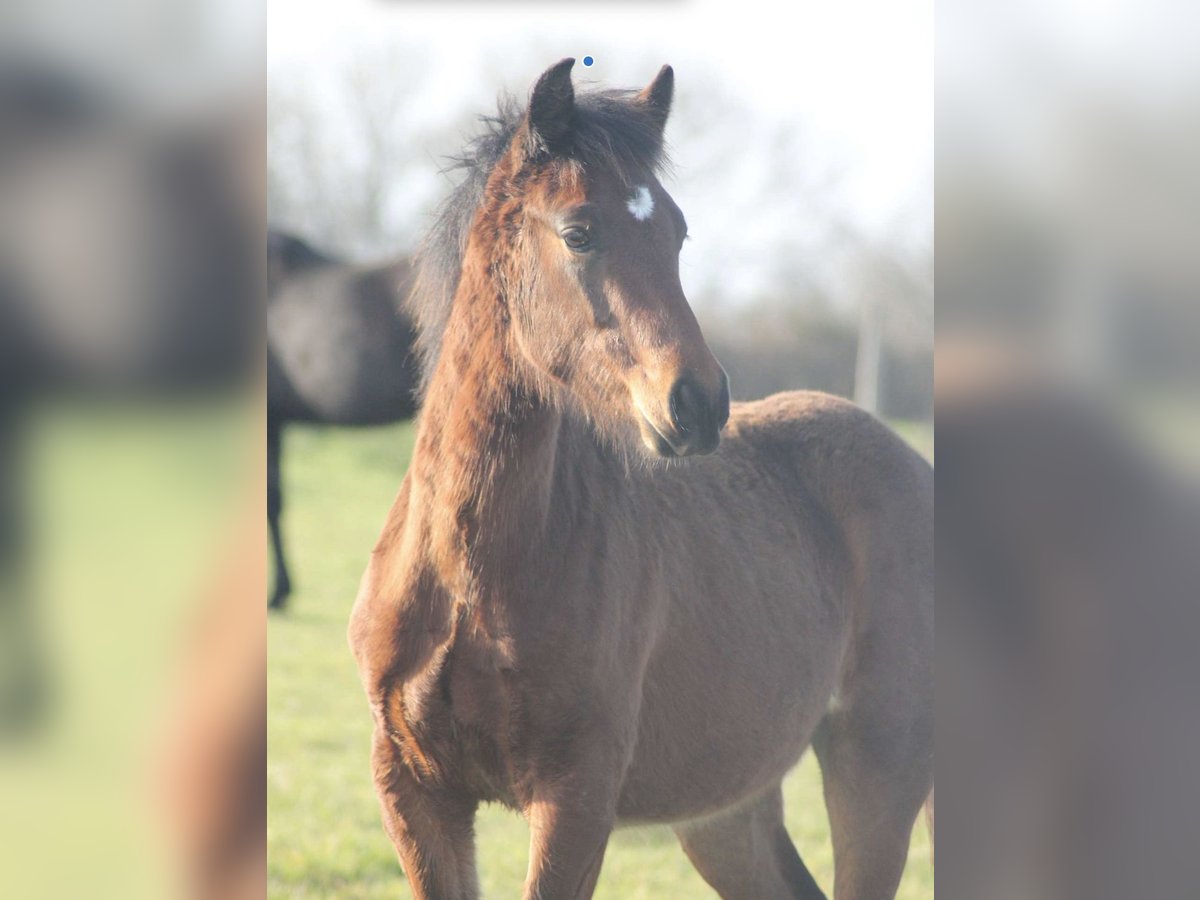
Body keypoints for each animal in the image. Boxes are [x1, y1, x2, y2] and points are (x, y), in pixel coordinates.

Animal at [350, 60, 936, 897]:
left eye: (676, 233)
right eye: (578, 232)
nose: (697, 403)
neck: (469, 577)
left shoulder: (576, 796)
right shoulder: (413, 789)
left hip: (878, 763)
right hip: (727, 811)